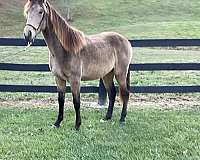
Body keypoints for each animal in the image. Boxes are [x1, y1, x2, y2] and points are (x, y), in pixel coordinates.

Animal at [23, 0, 133, 130]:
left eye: (40, 11)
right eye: (27, 11)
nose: (27, 34)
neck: (64, 50)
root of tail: (125, 40)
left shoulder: (75, 79)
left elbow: (76, 102)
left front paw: (77, 125)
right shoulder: (59, 79)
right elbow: (61, 101)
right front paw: (57, 123)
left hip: (120, 73)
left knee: (125, 93)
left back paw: (122, 118)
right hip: (107, 75)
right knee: (112, 93)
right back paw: (107, 117)